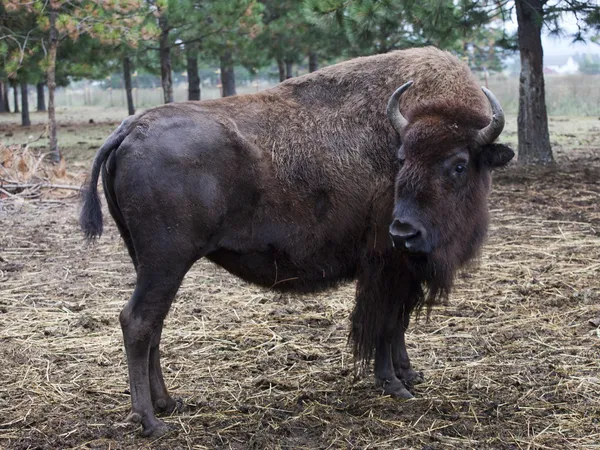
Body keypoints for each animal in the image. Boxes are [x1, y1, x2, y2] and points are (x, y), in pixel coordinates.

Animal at [78, 46, 510, 436]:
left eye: (459, 164)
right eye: (402, 158)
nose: (404, 230)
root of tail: (130, 128)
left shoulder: (405, 273)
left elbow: (399, 323)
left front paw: (410, 374)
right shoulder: (387, 266)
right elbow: (384, 325)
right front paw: (393, 384)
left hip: (149, 263)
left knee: (154, 324)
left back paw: (168, 403)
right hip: (166, 261)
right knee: (138, 322)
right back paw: (150, 422)